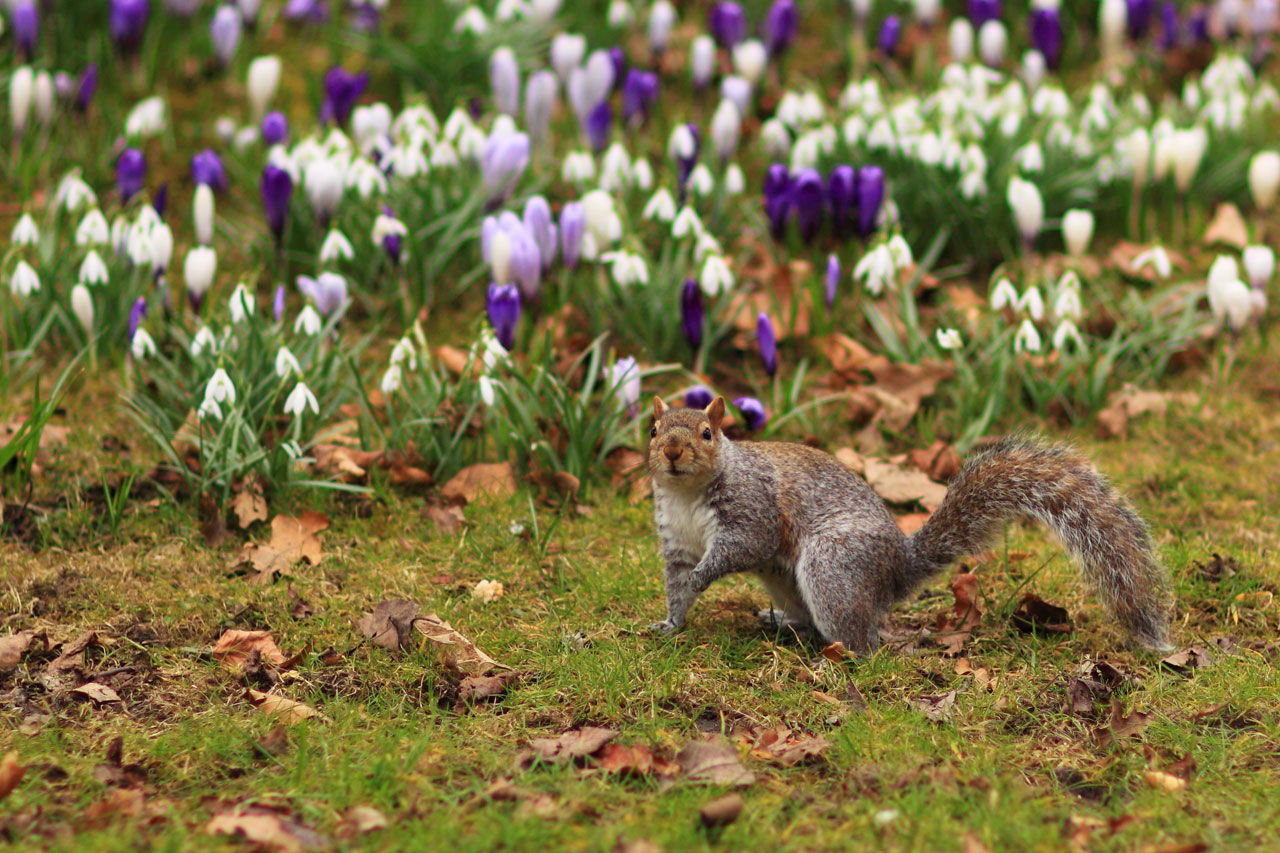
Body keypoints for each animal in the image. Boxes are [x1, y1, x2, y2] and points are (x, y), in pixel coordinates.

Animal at [645, 394, 1172, 650]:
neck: (688, 495)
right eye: (652, 429)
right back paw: (783, 622)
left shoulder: (752, 508)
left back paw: (839, 656)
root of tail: (898, 568)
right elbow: (676, 584)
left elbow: (742, 546)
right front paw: (670, 624)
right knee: (813, 619)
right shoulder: (675, 541)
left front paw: (704, 576)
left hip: (833, 565)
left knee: (861, 639)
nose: (671, 451)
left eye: (707, 433)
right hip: (788, 580)